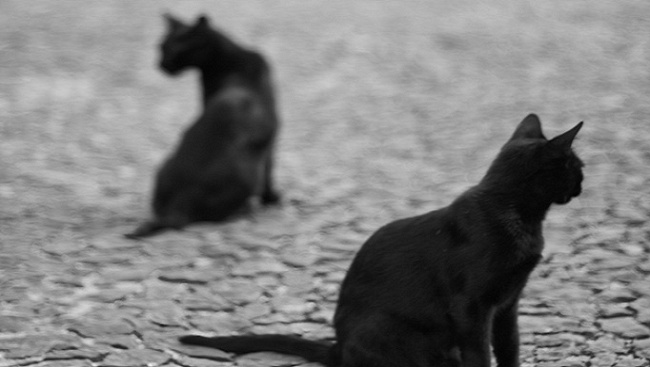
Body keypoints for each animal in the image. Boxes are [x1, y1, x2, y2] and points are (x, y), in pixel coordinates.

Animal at [126, 13, 278, 239]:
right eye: (161, 47)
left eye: (172, 49)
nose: (160, 64)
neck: (230, 59)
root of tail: (179, 205)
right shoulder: (274, 136)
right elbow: (270, 169)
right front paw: (272, 199)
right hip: (247, 175)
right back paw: (245, 210)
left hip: (163, 167)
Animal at [176, 113, 584, 366]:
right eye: (577, 167)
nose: (584, 183)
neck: (524, 219)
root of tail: (339, 346)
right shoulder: (472, 307)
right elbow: (481, 354)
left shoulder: (508, 303)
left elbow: (510, 347)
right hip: (393, 331)